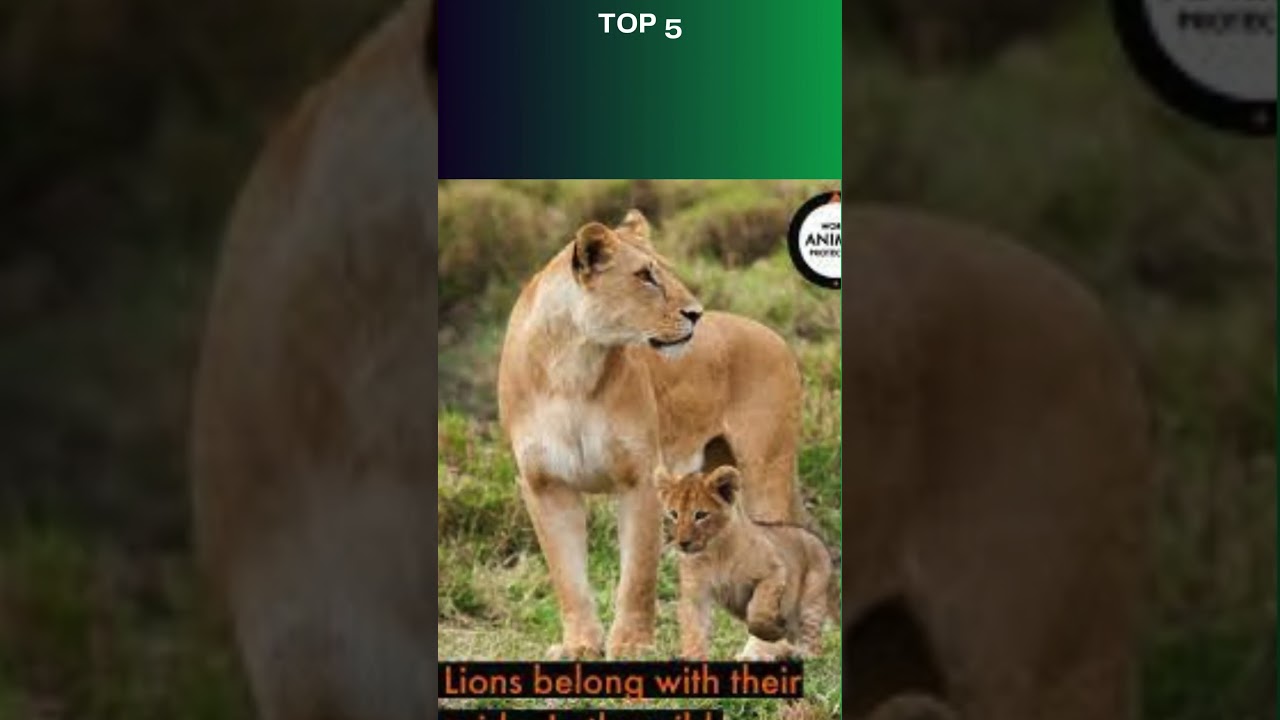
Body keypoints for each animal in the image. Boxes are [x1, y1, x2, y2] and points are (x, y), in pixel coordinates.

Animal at [496, 211, 806, 660]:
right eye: (645, 276)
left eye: (665, 271)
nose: (696, 313)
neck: (572, 366)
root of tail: (775, 336)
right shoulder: (544, 484)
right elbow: (567, 577)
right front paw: (580, 646)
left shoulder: (640, 478)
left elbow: (637, 576)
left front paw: (631, 645)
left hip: (767, 469)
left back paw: (760, 651)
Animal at [655, 465, 837, 662]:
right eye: (674, 514)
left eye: (700, 515)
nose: (683, 542)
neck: (715, 553)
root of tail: (816, 538)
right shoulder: (695, 594)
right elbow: (693, 631)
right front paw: (693, 658)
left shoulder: (774, 571)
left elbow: (757, 610)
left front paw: (772, 632)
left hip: (811, 602)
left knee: (814, 644)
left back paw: (801, 654)